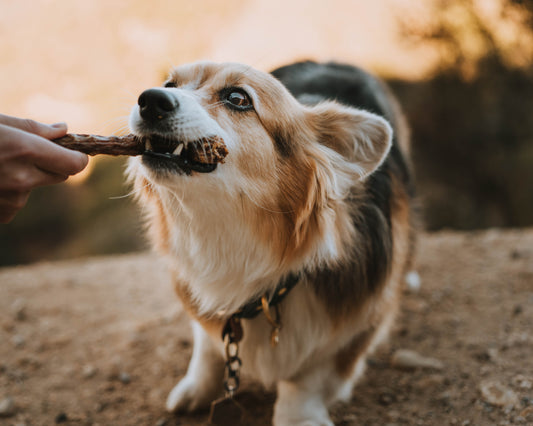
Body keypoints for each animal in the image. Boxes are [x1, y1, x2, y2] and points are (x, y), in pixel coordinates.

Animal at [125, 60, 416, 426]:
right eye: (170, 84)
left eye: (238, 98)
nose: (149, 100)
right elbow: (207, 346)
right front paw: (197, 387)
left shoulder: (357, 325)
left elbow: (308, 379)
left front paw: (298, 417)